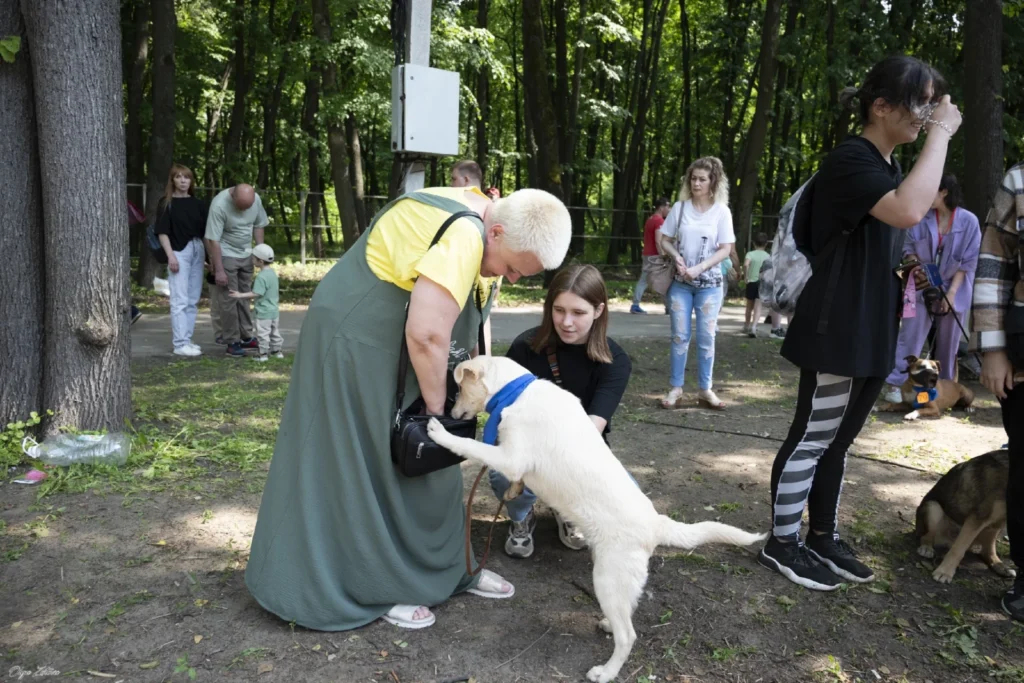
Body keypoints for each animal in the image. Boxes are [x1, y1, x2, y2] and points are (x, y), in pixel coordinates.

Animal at [917, 450, 1011, 585]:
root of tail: (946, 542)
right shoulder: (978, 518)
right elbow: (958, 549)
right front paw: (944, 572)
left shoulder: (995, 519)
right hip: (933, 508)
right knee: (927, 536)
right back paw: (926, 548)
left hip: (997, 525)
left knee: (988, 547)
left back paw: (999, 565)